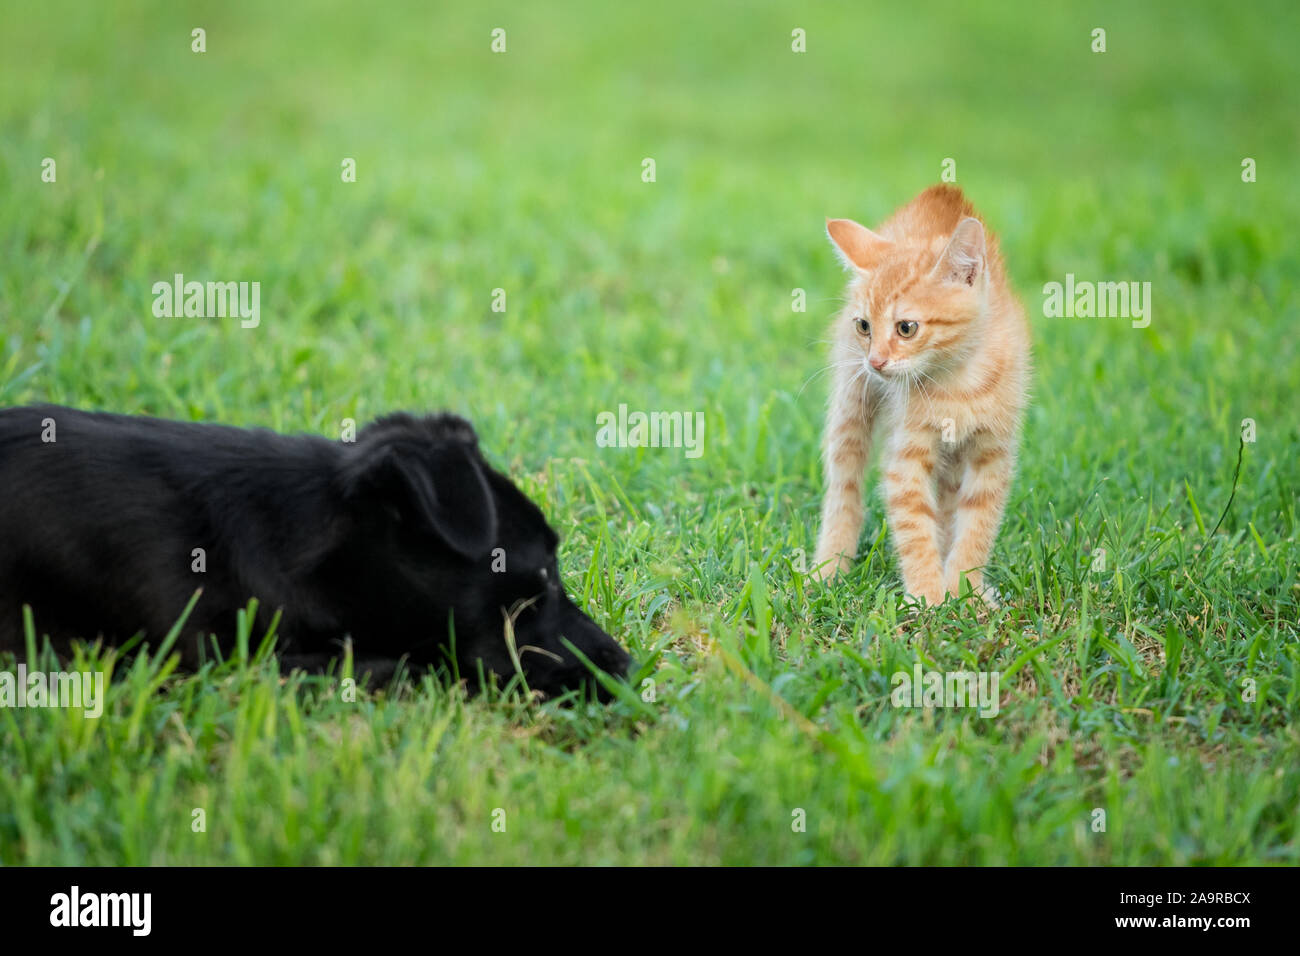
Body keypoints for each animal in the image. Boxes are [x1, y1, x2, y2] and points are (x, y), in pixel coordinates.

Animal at [811, 185, 1034, 606]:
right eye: (864, 326)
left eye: (906, 327)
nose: (875, 362)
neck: (959, 383)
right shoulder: (907, 455)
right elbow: (914, 526)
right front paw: (928, 595)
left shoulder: (992, 453)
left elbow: (977, 525)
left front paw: (966, 591)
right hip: (852, 403)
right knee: (844, 488)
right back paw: (829, 566)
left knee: (946, 505)